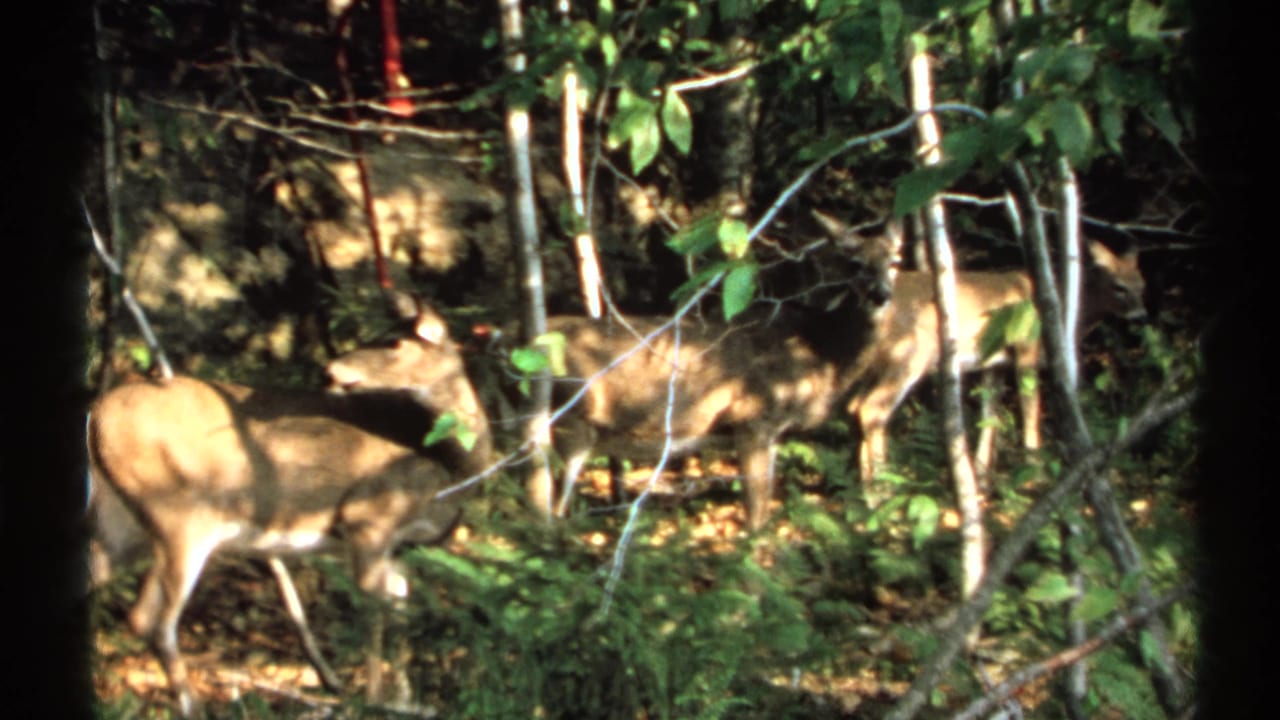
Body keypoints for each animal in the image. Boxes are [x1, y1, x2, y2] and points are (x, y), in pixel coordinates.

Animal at [87, 302, 491, 717]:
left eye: (395, 341)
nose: (330, 370)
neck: (449, 468)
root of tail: (96, 414)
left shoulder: (402, 548)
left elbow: (399, 614)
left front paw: (406, 701)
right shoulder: (368, 519)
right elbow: (372, 613)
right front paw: (376, 702)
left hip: (120, 525)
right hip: (179, 513)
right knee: (151, 620)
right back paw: (194, 707)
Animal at [526, 213, 902, 531]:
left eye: (895, 261)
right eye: (855, 264)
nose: (881, 294)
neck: (818, 355)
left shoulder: (770, 429)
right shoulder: (753, 417)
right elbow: (757, 515)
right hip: (571, 420)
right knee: (550, 509)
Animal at [845, 239, 1147, 488]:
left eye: (1141, 284)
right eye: (1118, 287)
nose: (1141, 315)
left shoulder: (994, 364)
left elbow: (990, 417)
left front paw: (981, 479)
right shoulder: (1025, 348)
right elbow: (1030, 409)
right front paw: (1033, 473)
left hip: (878, 362)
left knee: (855, 406)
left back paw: (866, 494)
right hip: (911, 353)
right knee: (872, 409)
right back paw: (883, 491)